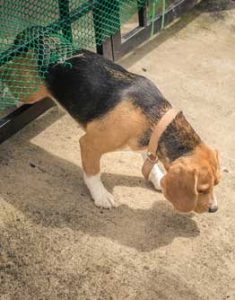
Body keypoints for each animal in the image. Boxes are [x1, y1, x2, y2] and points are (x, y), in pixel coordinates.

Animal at [0, 28, 220, 213]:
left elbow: (150, 160)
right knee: (8, 73)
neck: (157, 119)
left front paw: (157, 177)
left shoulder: (147, 142)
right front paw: (101, 195)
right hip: (28, 91)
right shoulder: (89, 144)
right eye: (201, 190)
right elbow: (93, 173)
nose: (214, 209)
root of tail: (36, 31)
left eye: (217, 183)